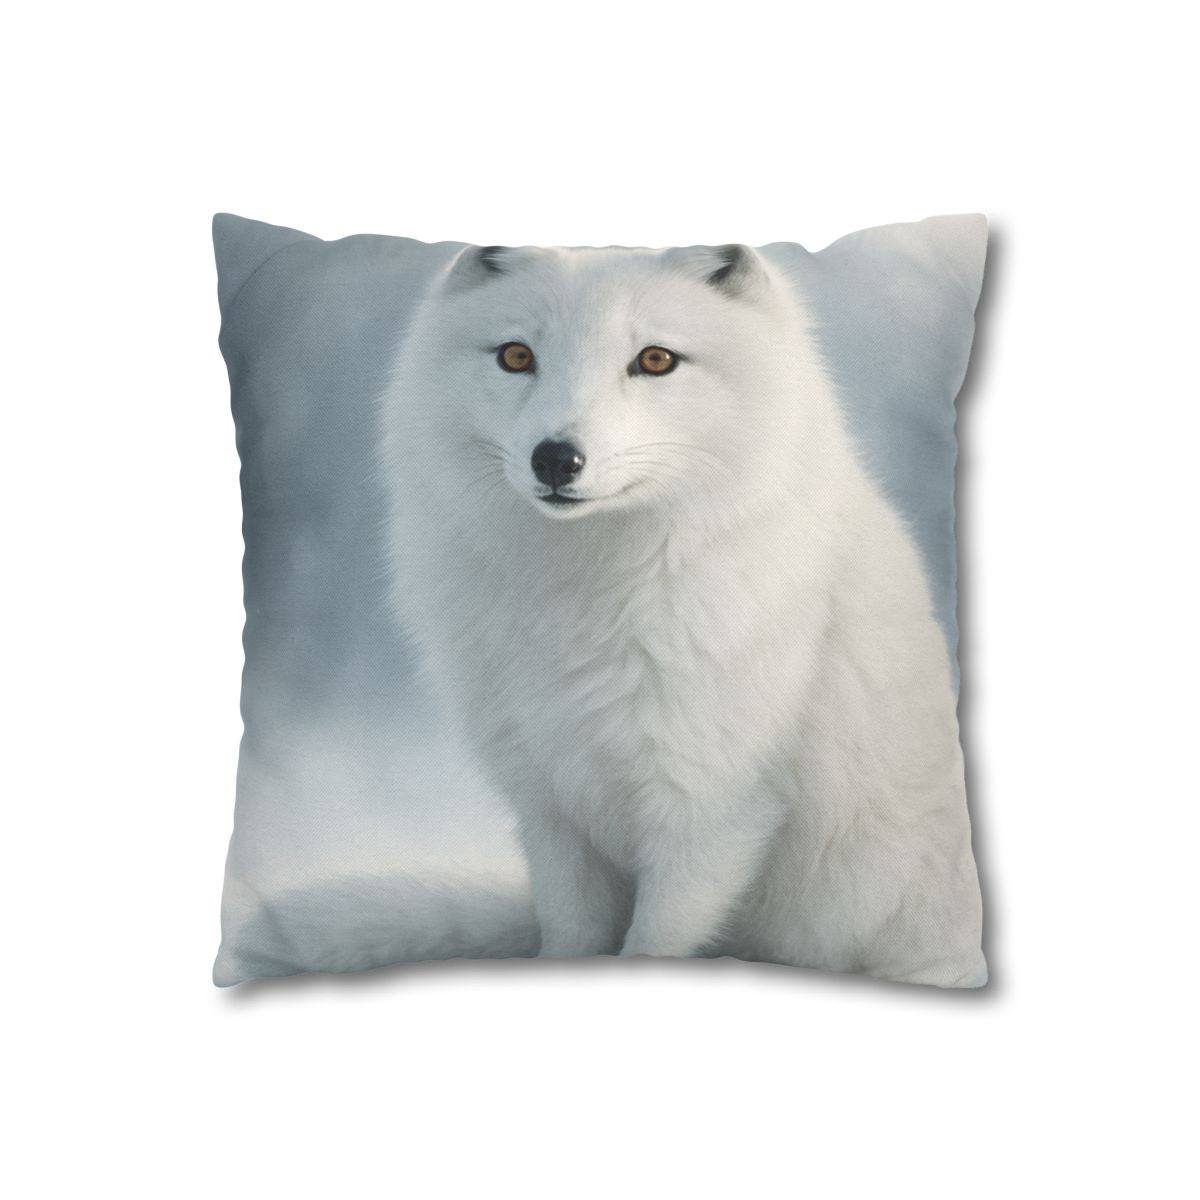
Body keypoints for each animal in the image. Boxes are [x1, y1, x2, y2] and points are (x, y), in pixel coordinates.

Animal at [380, 241, 986, 987]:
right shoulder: (551, 805)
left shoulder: (710, 809)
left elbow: (656, 941)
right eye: (516, 356)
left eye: (656, 359)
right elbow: (571, 934)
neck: (585, 592)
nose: (556, 458)